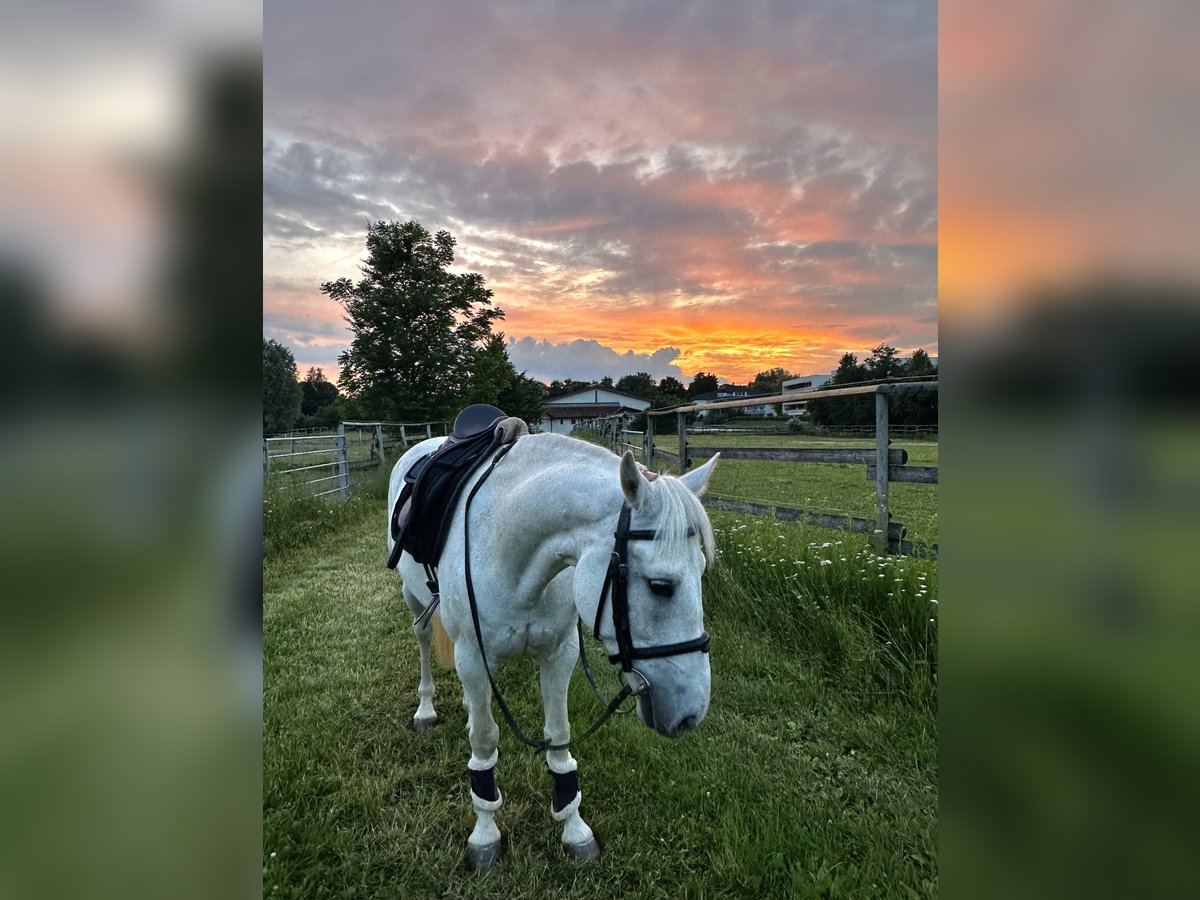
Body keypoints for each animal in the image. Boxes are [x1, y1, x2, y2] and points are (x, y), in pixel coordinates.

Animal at [388, 434, 715, 868]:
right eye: (660, 585)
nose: (691, 714)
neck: (509, 551)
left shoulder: (559, 654)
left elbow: (558, 736)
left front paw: (573, 828)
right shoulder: (473, 657)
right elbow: (485, 741)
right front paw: (485, 833)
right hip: (415, 602)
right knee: (423, 638)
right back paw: (426, 708)